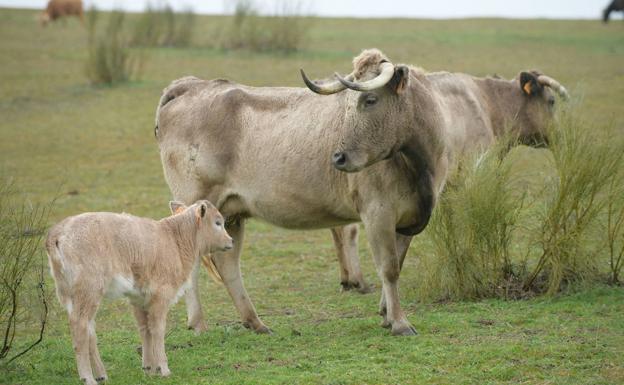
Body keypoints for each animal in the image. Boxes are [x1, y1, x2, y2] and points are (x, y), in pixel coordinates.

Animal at [45, 200, 232, 384]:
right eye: (218, 222)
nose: (231, 241)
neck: (175, 240)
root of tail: (58, 232)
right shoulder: (161, 294)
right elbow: (157, 329)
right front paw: (164, 369)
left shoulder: (138, 297)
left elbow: (145, 329)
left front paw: (149, 369)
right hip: (89, 288)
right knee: (80, 327)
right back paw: (88, 378)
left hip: (71, 293)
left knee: (89, 329)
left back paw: (101, 375)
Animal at [155, 48, 564, 336]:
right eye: (349, 103)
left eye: (369, 99)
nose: (337, 156)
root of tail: (190, 85)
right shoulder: (379, 214)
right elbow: (389, 267)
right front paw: (400, 322)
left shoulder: (409, 218)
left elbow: (397, 263)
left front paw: (386, 314)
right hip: (196, 205)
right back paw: (199, 323)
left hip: (233, 213)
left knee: (229, 265)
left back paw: (255, 322)